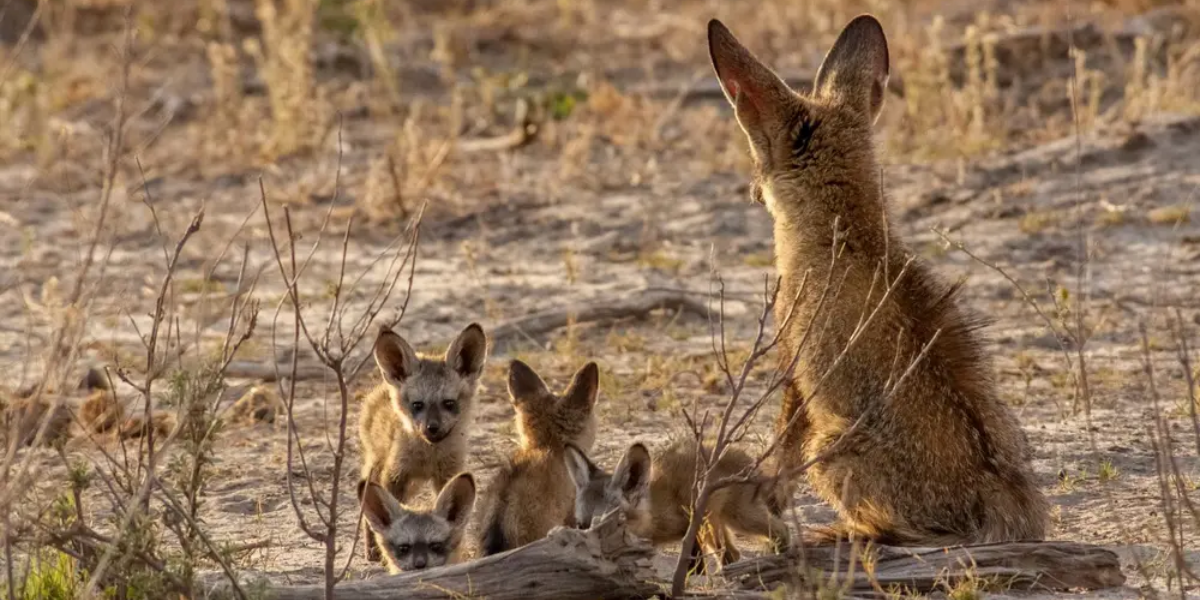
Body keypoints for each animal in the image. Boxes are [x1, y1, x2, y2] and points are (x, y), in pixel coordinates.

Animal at [705, 15, 1046, 544]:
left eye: (756, 151)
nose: (751, 190)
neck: (851, 233)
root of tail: (1001, 496)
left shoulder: (792, 363)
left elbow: (781, 448)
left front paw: (770, 500)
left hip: (829, 450)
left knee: (901, 530)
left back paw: (839, 532)